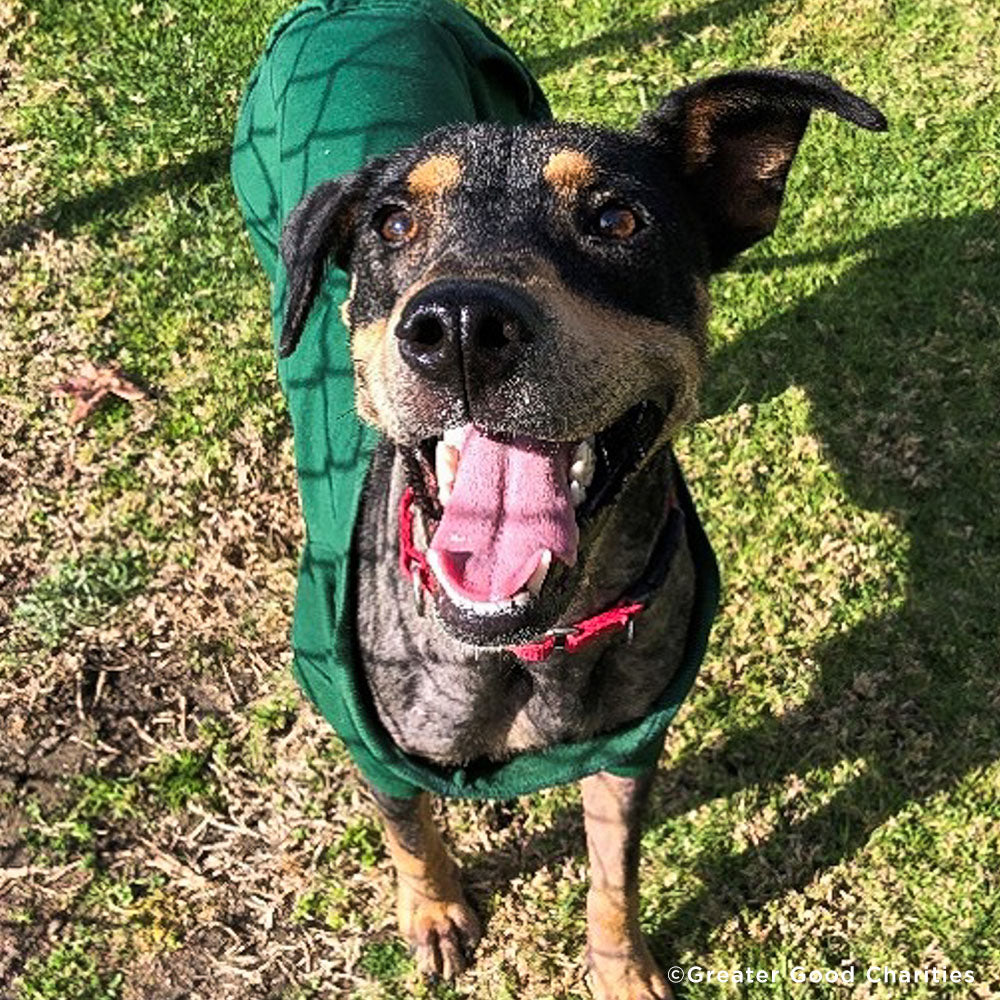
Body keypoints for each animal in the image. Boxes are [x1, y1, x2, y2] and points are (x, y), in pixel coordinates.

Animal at [276, 68, 884, 1000]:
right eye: (393, 224)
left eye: (616, 220)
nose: (459, 324)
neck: (532, 647)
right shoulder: (367, 739)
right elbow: (410, 831)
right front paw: (435, 912)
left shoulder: (631, 746)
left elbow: (614, 873)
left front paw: (621, 966)